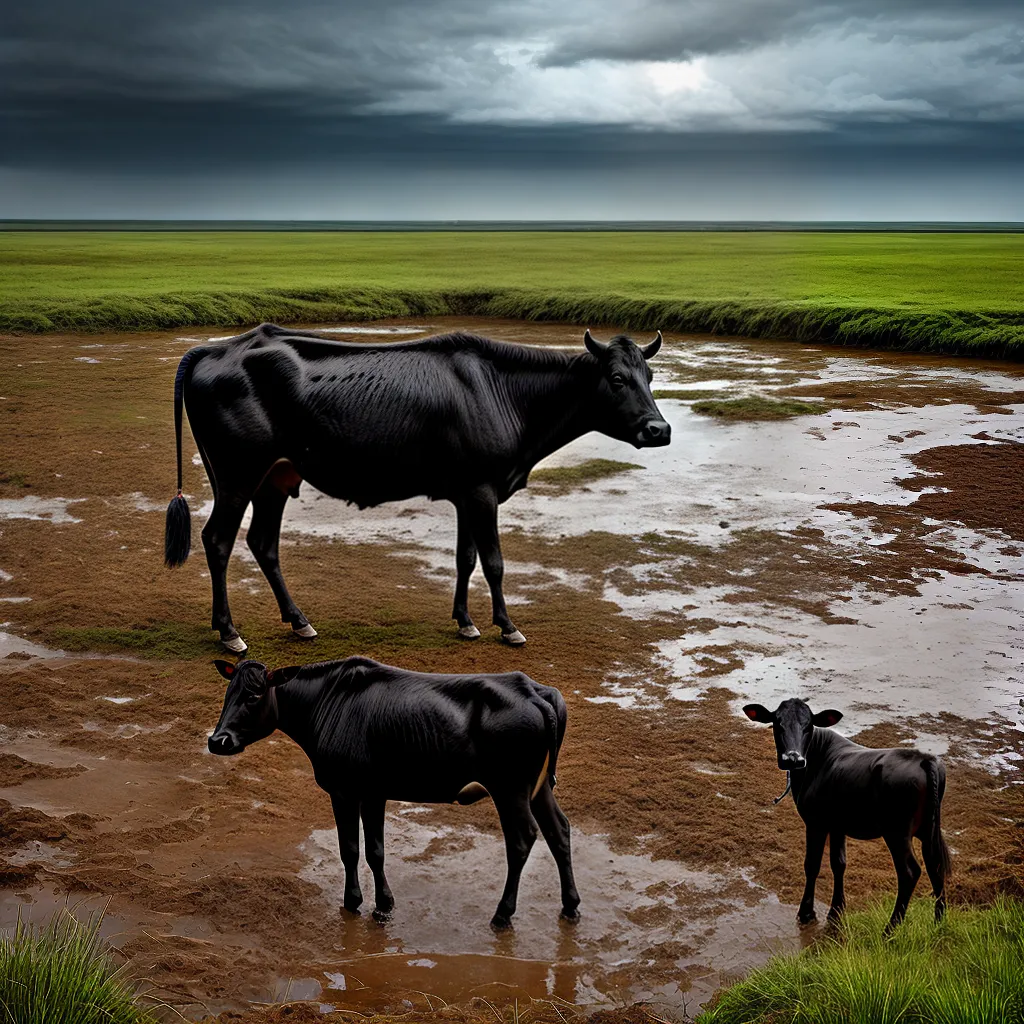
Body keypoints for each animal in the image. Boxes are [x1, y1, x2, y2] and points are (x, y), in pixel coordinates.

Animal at [164, 324, 670, 654]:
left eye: (649, 377)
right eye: (617, 379)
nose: (659, 429)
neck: (504, 391)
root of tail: (216, 350)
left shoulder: (468, 492)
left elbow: (465, 558)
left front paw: (465, 622)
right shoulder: (483, 490)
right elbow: (494, 562)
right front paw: (507, 626)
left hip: (276, 476)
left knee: (263, 543)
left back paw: (300, 622)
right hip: (236, 476)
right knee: (218, 540)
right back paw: (229, 633)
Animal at [207, 656, 580, 929]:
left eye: (253, 696)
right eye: (228, 695)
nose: (218, 741)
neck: (327, 701)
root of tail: (535, 692)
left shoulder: (344, 791)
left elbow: (351, 850)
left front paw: (355, 902)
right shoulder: (373, 793)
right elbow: (375, 851)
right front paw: (383, 905)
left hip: (510, 789)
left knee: (522, 840)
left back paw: (503, 914)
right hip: (539, 788)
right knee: (558, 831)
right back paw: (571, 905)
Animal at [743, 698, 951, 933]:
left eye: (808, 726)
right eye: (777, 723)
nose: (793, 758)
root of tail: (925, 759)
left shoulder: (816, 823)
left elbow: (812, 865)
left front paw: (806, 913)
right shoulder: (837, 825)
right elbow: (839, 863)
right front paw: (836, 911)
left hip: (898, 833)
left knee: (909, 872)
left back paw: (890, 929)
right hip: (929, 829)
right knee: (936, 865)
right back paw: (939, 924)